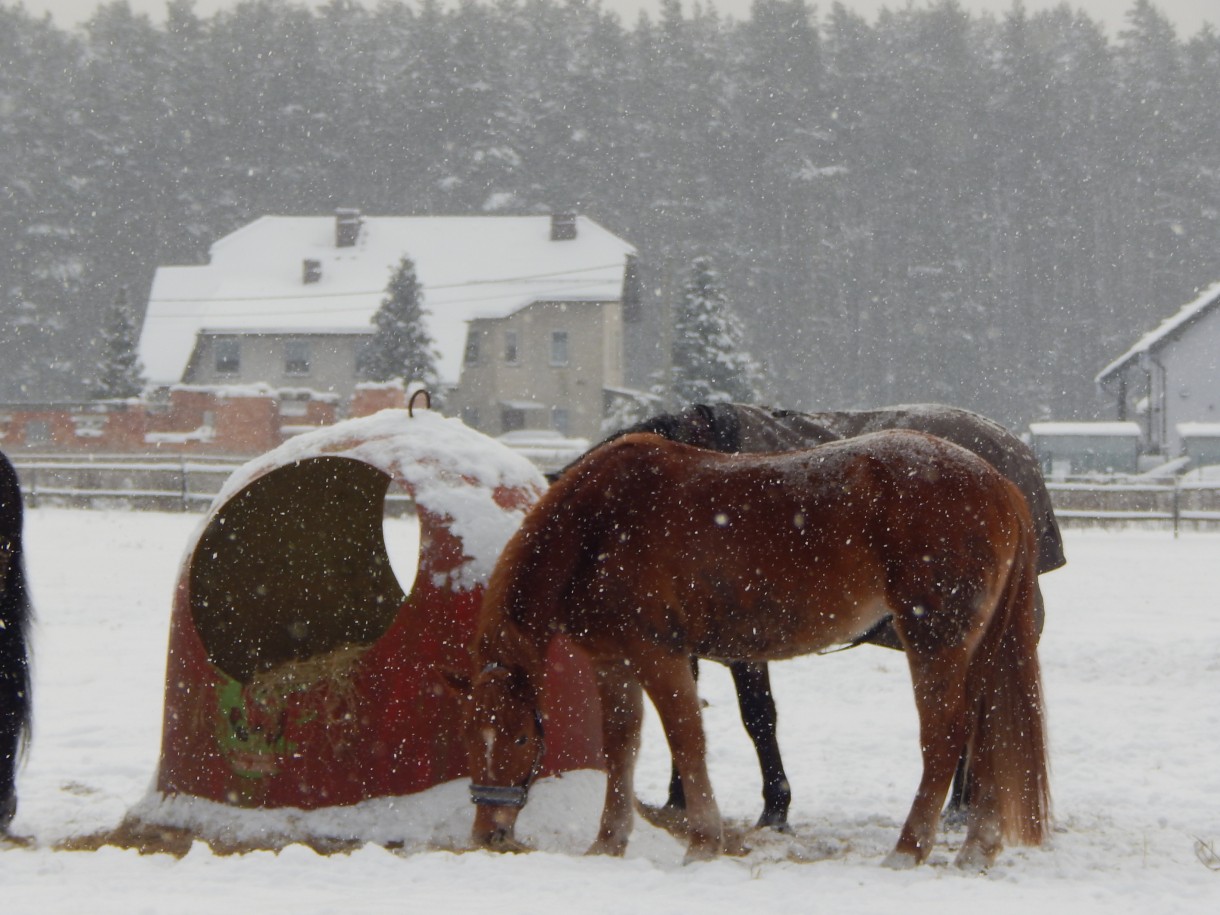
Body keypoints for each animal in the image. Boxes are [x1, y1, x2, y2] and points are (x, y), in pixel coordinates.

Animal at [466, 434, 1049, 868]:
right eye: (473, 739)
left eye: (522, 737)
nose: (489, 834)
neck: (600, 522)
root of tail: (1000, 485)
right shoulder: (613, 664)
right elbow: (621, 749)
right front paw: (608, 843)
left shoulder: (660, 656)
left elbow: (687, 741)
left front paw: (703, 843)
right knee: (987, 731)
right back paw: (977, 848)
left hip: (933, 641)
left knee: (946, 737)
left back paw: (908, 850)